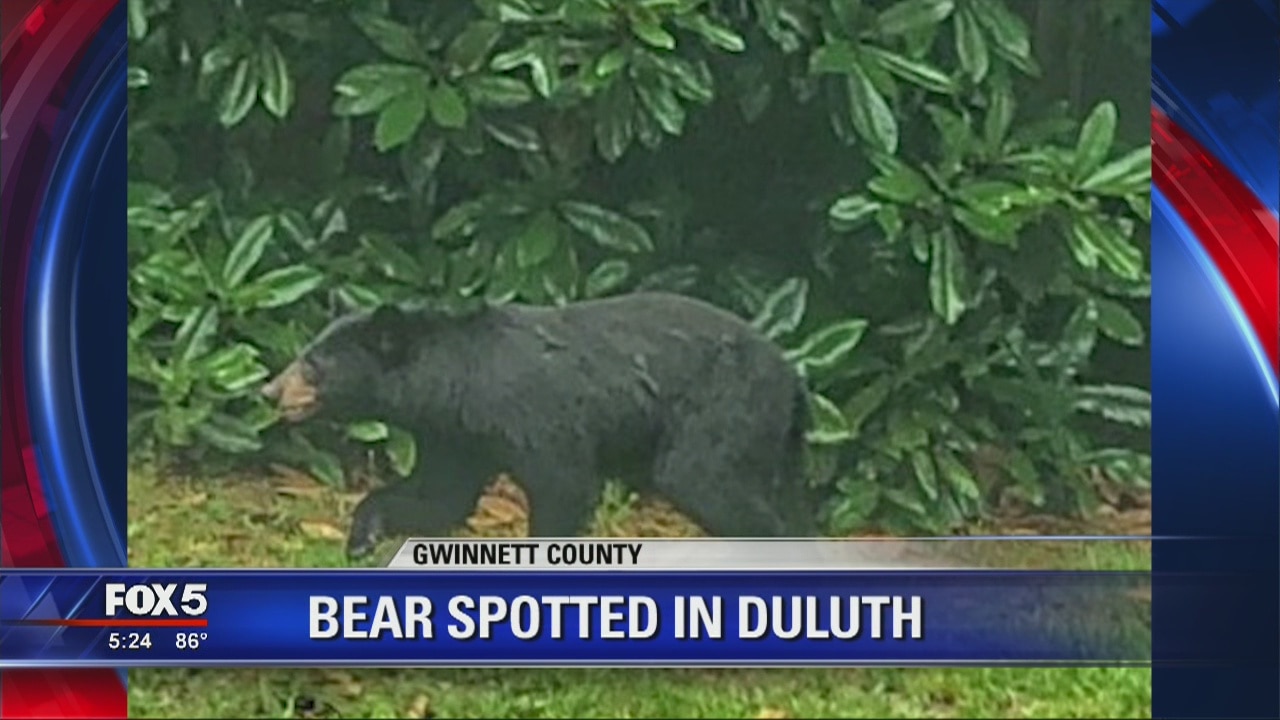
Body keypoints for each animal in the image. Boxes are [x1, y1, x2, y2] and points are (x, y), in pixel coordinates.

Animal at [261, 291, 819, 560]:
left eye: (314, 365)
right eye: (305, 352)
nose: (269, 390)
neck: (458, 385)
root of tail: (794, 377)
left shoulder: (532, 415)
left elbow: (562, 485)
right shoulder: (454, 435)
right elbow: (440, 495)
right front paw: (363, 535)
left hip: (724, 408)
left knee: (703, 480)